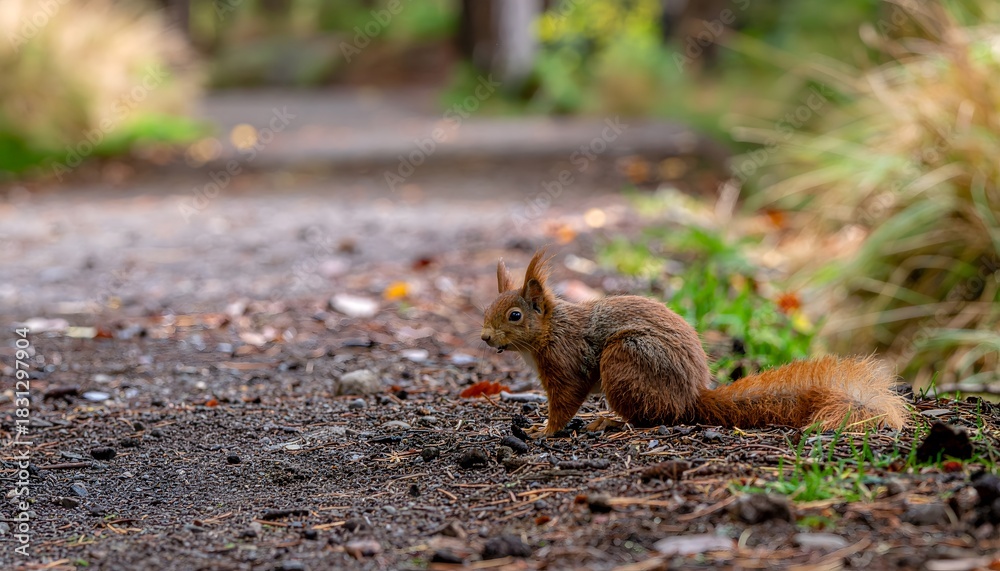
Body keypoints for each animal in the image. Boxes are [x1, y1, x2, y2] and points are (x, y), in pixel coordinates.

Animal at [481, 250, 909, 436]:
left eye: (515, 316)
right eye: (487, 308)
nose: (484, 337)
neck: (550, 330)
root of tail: (692, 397)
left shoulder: (567, 362)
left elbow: (566, 401)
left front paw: (544, 431)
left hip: (625, 358)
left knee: (651, 417)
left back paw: (609, 420)